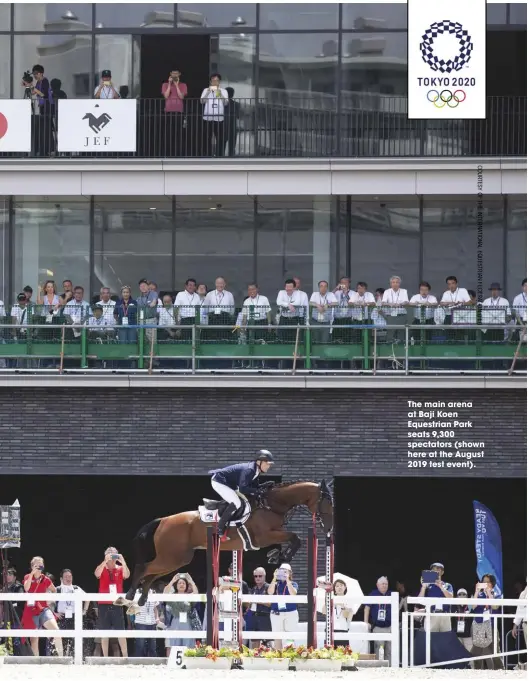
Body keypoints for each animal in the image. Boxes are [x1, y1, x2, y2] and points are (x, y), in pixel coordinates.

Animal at [114, 478, 330, 612]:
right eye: (326, 501)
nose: (328, 527)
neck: (272, 505)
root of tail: (164, 520)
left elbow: (294, 539)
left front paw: (277, 555)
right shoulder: (264, 537)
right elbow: (295, 538)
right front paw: (280, 555)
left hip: (177, 559)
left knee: (150, 573)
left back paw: (140, 599)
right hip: (172, 557)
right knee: (144, 568)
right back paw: (128, 596)